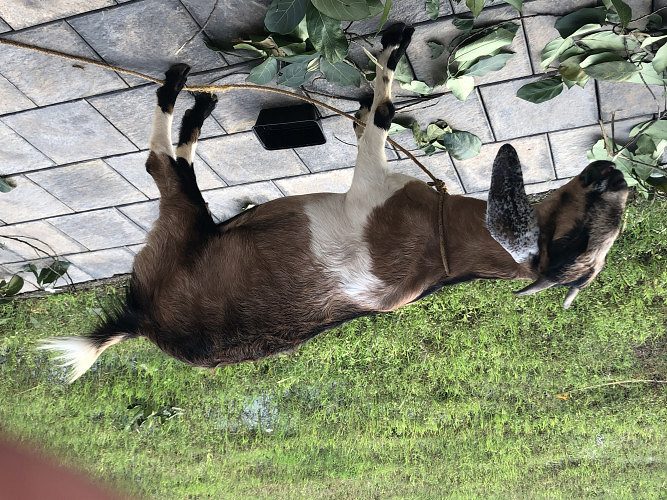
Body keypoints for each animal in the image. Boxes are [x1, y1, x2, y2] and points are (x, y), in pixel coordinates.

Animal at [40, 24, 629, 383]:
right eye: (584, 237)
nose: (616, 174)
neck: (443, 242)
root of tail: (142, 322)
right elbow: (373, 117)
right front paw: (375, 77)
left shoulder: (369, 185)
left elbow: (384, 116)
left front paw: (392, 48)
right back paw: (199, 106)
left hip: (182, 226)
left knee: (164, 167)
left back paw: (182, 94)